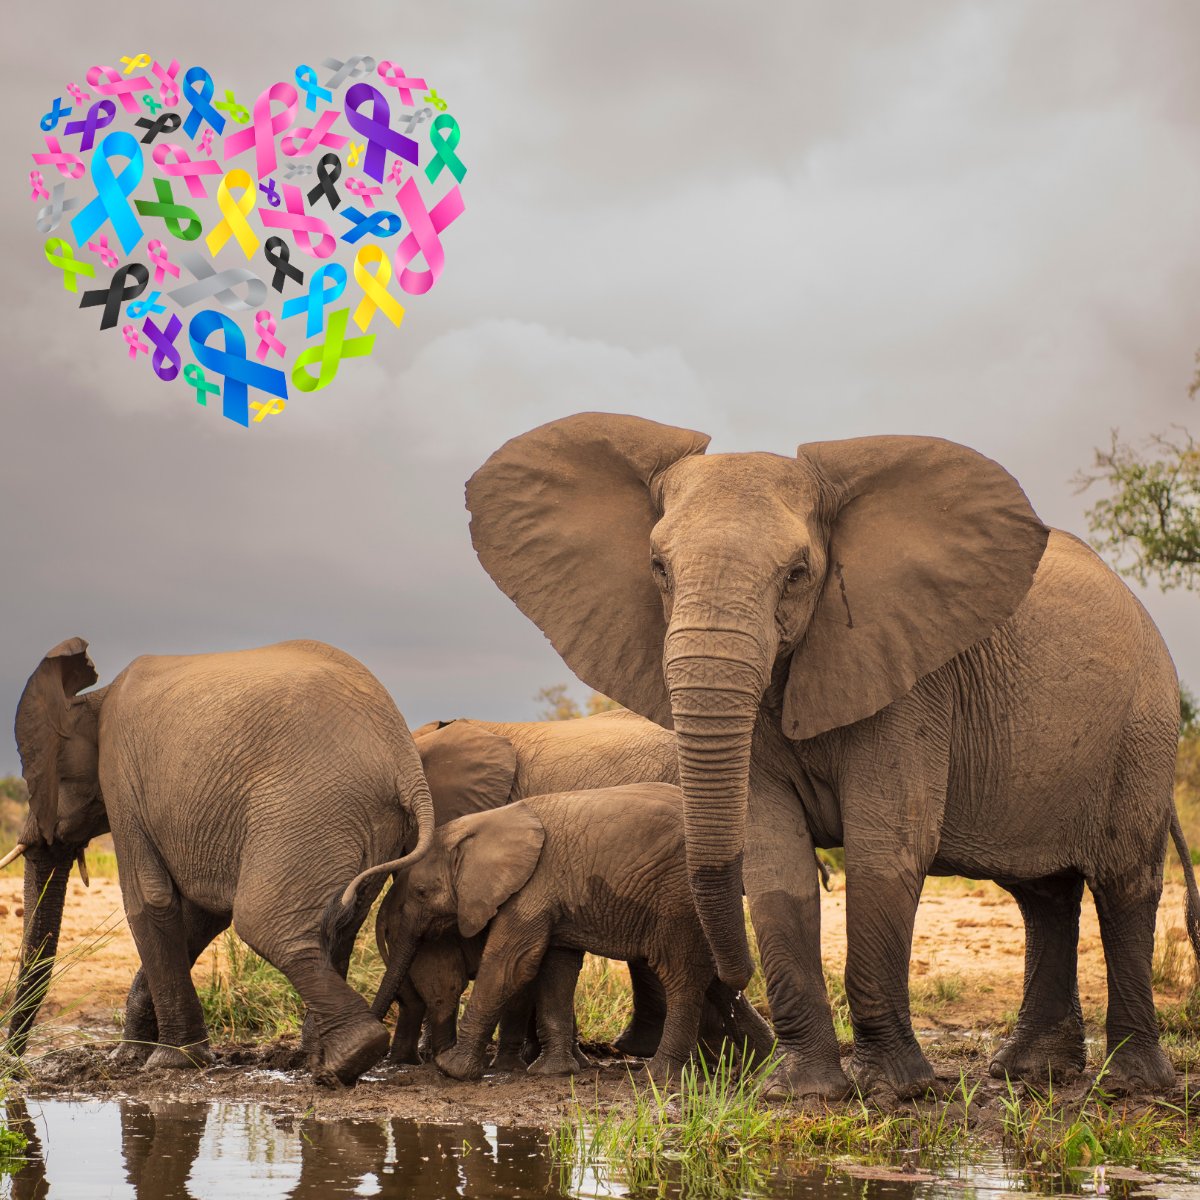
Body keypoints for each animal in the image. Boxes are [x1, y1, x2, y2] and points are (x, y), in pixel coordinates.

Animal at [4, 637, 433, 1085]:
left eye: (38, 779)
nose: (15, 1065)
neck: (91, 698)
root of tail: (407, 766)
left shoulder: (122, 780)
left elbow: (148, 901)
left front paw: (170, 1061)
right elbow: (200, 914)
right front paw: (130, 1057)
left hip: (308, 807)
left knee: (264, 923)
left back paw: (347, 1058)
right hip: (366, 822)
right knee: (340, 922)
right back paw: (318, 1062)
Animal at [464, 412, 1200, 1098]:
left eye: (798, 574)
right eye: (658, 569)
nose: (733, 983)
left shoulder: (911, 680)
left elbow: (887, 848)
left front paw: (895, 1091)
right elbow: (774, 857)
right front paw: (802, 1093)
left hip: (1143, 727)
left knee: (1124, 883)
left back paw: (1130, 1084)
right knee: (1044, 894)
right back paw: (1030, 1073)